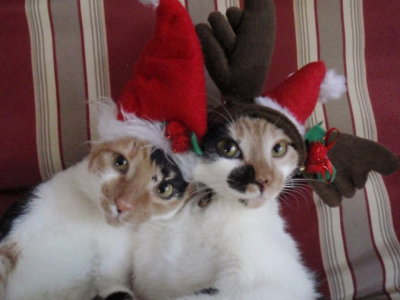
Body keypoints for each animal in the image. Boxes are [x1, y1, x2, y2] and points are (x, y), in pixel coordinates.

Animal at [0, 137, 190, 300]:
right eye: (120, 161)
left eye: (164, 189)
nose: (123, 204)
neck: (91, 216)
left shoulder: (111, 268)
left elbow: (115, 291)